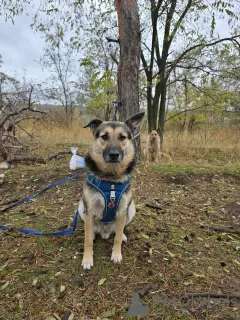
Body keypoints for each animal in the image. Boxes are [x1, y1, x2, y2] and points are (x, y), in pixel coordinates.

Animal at [79, 112, 144, 270]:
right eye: (104, 136)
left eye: (122, 137)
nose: (114, 154)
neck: (111, 179)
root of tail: (105, 232)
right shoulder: (89, 209)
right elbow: (87, 241)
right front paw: (87, 259)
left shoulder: (122, 210)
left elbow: (118, 238)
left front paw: (116, 254)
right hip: (81, 208)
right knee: (90, 231)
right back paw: (93, 234)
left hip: (131, 209)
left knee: (118, 231)